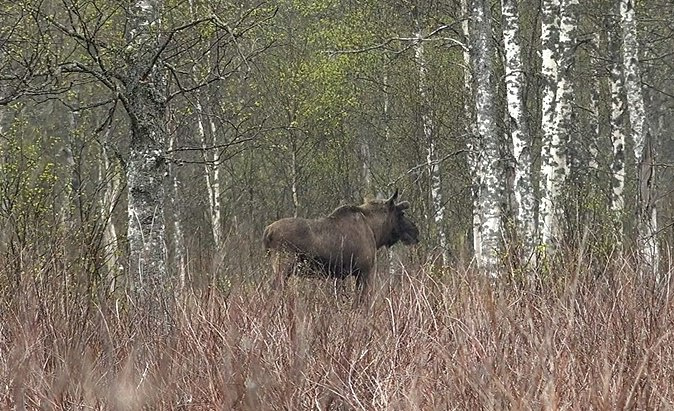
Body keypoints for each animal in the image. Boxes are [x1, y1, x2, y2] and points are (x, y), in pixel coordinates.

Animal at [262, 190, 414, 300]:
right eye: (401, 213)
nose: (416, 232)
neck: (375, 231)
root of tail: (267, 232)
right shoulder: (364, 271)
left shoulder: (340, 275)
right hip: (283, 265)